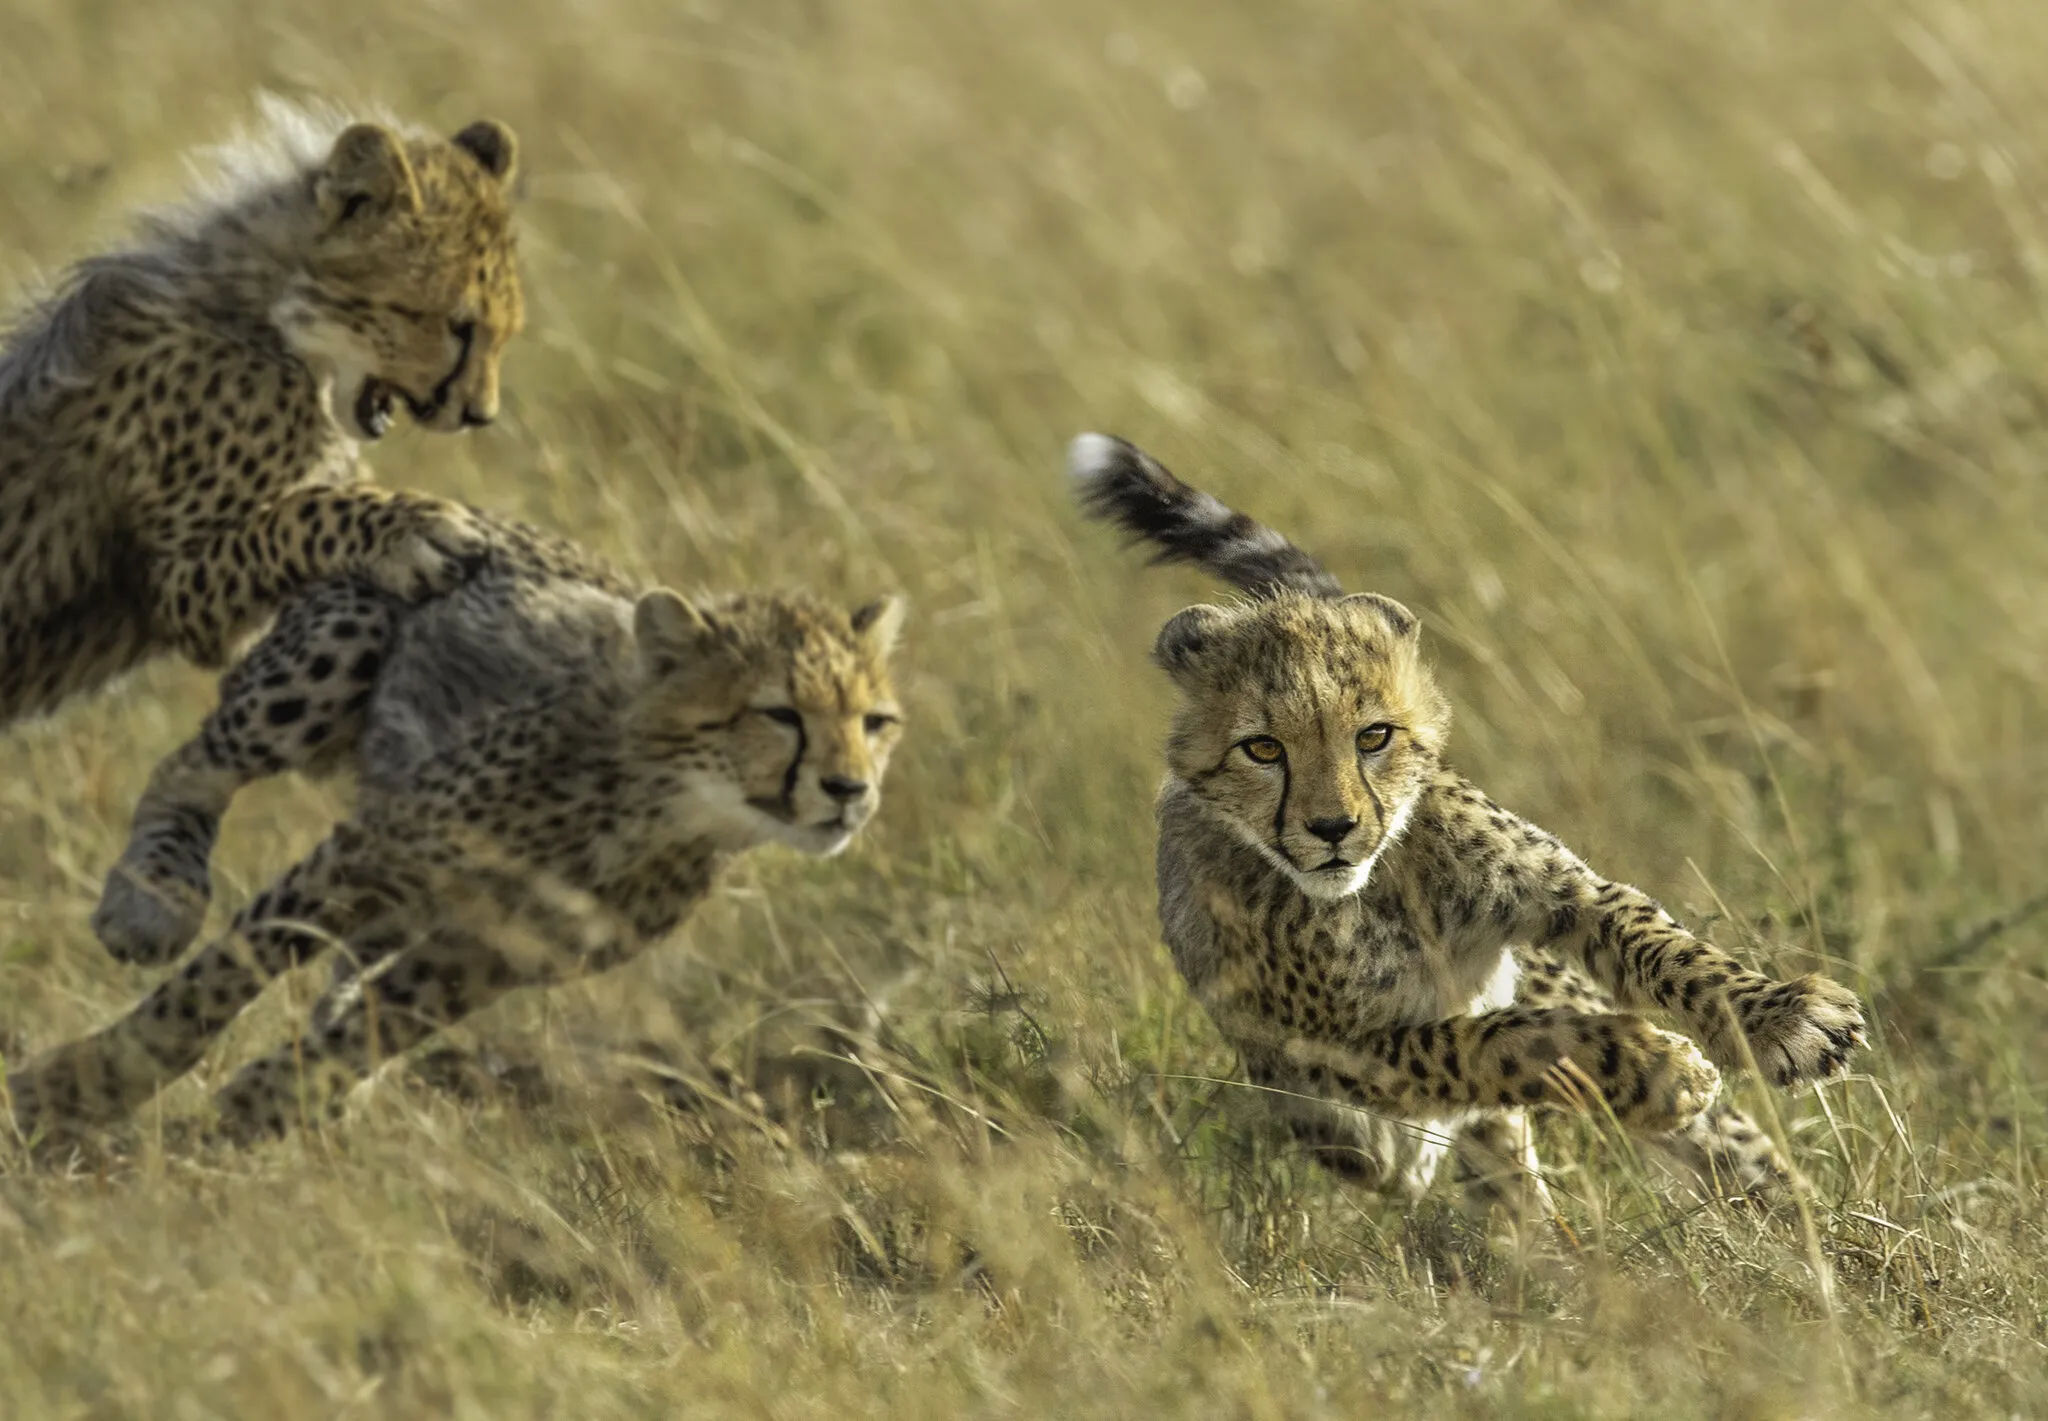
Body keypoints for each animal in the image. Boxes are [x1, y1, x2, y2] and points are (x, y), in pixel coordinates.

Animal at [0, 95, 525, 726]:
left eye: (506, 333)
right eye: (458, 326)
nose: (480, 415)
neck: (266, 318)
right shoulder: (175, 589)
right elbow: (299, 514)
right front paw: (410, 529)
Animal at [6, 509, 905, 1143]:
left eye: (877, 722)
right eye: (779, 714)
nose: (850, 789)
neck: (656, 806)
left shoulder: (492, 950)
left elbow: (377, 1026)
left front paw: (270, 1099)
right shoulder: (367, 854)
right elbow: (217, 977)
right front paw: (77, 1087)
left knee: (355, 965)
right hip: (330, 660)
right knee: (187, 768)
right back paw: (151, 898)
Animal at [1069, 432, 1866, 1224]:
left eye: (1373, 736)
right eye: (1263, 749)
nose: (1333, 827)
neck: (1376, 887)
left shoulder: (1560, 892)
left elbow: (1660, 943)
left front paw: (1783, 1016)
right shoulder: (1342, 1052)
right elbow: (1491, 1043)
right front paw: (1653, 1067)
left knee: (1723, 1149)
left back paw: (1812, 1234)